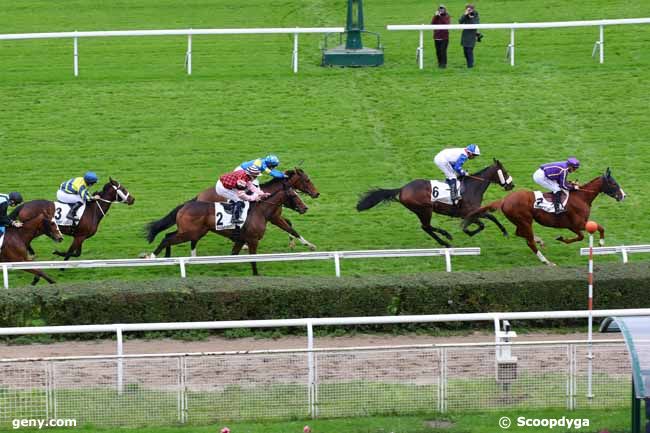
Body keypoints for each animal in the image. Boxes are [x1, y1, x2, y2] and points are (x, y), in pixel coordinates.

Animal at [146, 178, 308, 274]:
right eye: (294, 195)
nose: (305, 208)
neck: (260, 211)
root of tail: (185, 205)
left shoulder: (241, 239)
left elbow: (233, 255)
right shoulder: (252, 239)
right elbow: (253, 258)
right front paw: (256, 274)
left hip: (192, 231)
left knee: (168, 235)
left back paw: (168, 257)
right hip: (190, 232)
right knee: (167, 239)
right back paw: (152, 256)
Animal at [147, 168, 318, 255]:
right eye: (307, 180)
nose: (316, 193)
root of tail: (198, 196)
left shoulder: (274, 216)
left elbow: (289, 225)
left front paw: (295, 243)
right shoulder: (274, 217)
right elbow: (290, 227)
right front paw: (309, 245)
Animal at [354, 159, 512, 246]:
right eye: (505, 172)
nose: (512, 185)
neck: (472, 187)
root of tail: (402, 189)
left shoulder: (472, 212)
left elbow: (488, 219)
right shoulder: (469, 212)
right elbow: (485, 221)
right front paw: (470, 231)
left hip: (421, 211)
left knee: (426, 227)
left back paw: (445, 240)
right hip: (425, 209)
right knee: (426, 227)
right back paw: (446, 238)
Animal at [460, 168, 624, 264]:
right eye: (614, 184)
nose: (623, 196)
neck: (582, 197)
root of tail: (504, 199)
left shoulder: (573, 225)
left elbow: (586, 233)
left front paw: (562, 238)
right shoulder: (577, 223)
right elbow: (592, 231)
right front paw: (600, 242)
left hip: (521, 222)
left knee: (521, 234)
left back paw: (540, 241)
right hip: (525, 220)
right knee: (529, 241)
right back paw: (546, 260)